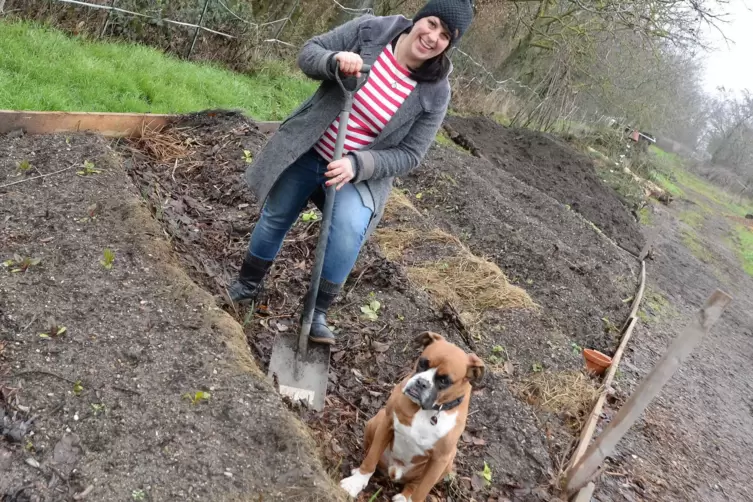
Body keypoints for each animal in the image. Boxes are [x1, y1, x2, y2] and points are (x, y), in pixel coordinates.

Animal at [340, 332, 482, 500]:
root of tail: (394, 472)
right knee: (370, 453)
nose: (421, 382)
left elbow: (422, 490)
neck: (427, 411)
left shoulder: (440, 459)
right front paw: (355, 483)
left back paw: (404, 497)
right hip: (375, 421)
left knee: (414, 485)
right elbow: (370, 459)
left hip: (448, 462)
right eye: (422, 363)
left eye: (444, 380)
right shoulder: (387, 423)